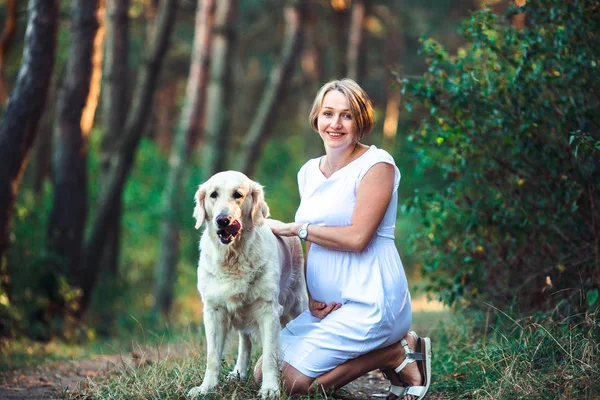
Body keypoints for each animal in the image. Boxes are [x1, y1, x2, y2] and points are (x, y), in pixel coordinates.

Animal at [186, 170, 310, 398]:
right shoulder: (213, 310)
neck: (233, 257)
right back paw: (238, 373)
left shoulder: (268, 310)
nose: (223, 220)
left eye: (238, 194)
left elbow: (269, 355)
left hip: (298, 302)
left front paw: (270, 388)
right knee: (245, 342)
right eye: (213, 194)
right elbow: (212, 356)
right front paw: (206, 388)